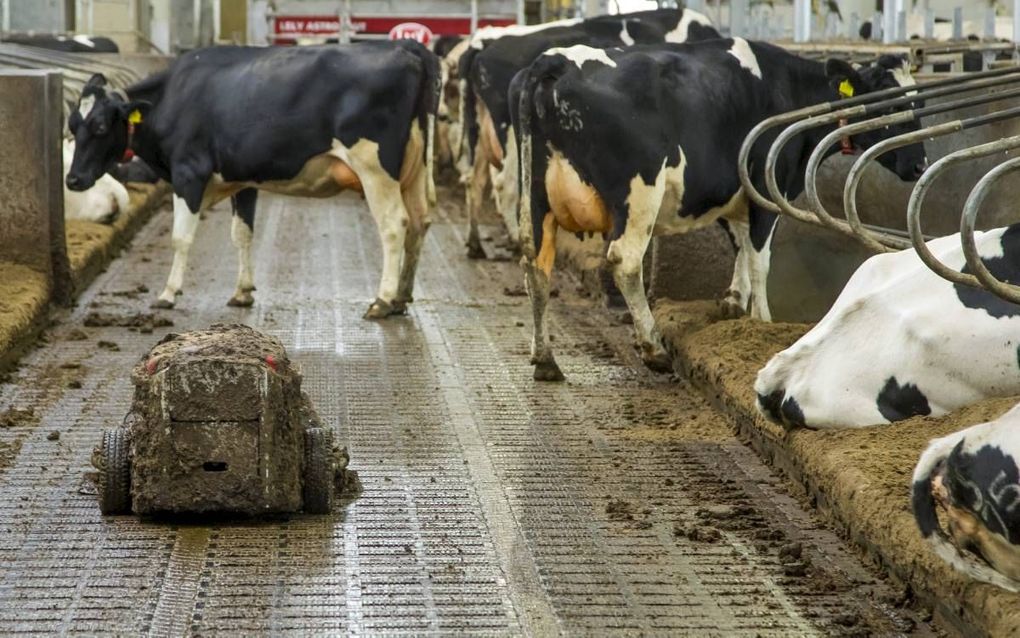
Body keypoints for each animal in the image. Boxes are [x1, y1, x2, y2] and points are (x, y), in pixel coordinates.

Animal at [65, 41, 440, 316]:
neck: (173, 98)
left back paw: (383, 300)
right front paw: (242, 292)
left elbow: (181, 238)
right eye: (72, 124)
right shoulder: (242, 180)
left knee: (394, 225)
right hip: (414, 170)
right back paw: (402, 297)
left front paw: (168, 293)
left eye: (100, 127)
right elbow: (242, 234)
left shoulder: (189, 173)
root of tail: (407, 49)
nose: (72, 180)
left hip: (376, 170)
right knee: (419, 222)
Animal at [463, 7, 718, 256]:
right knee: (504, 184)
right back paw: (514, 239)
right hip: (509, 137)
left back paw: (475, 243)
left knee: (475, 180)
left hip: (480, 131)